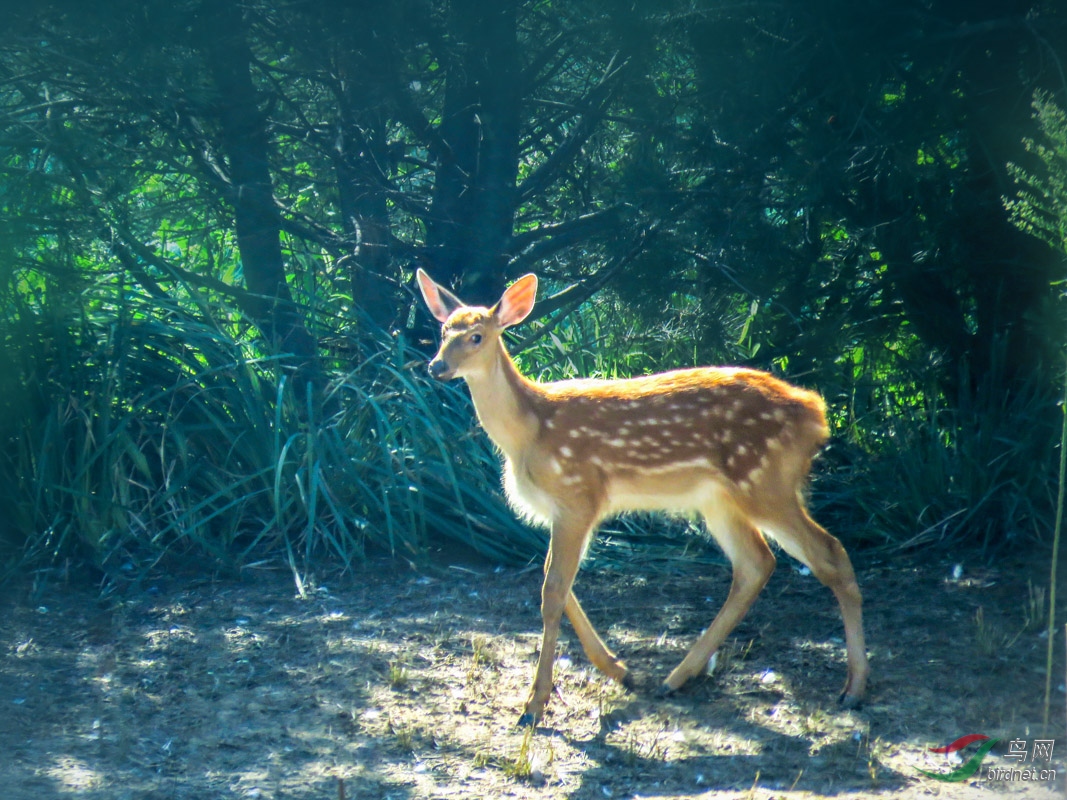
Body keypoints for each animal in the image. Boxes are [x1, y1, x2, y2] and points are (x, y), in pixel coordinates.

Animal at [416, 267, 866, 725]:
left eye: (477, 336)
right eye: (444, 330)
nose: (437, 366)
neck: (529, 432)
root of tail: (816, 413)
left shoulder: (578, 496)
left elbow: (553, 591)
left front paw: (535, 704)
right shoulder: (559, 510)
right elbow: (557, 583)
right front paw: (620, 670)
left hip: (765, 482)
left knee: (829, 552)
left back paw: (854, 689)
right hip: (721, 499)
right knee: (756, 564)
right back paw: (676, 677)